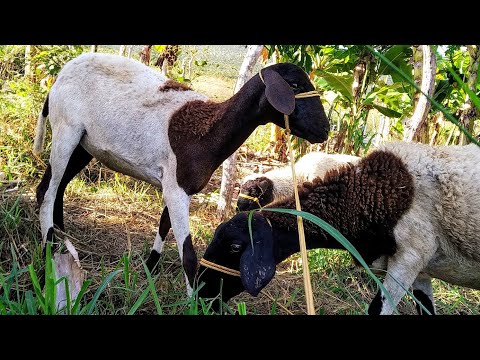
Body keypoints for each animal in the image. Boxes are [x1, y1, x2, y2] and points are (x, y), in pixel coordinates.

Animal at [32, 53, 330, 296]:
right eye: (295, 86)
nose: (324, 130)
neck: (209, 131)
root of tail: (59, 76)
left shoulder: (176, 185)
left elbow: (164, 225)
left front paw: (150, 268)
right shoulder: (177, 188)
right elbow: (188, 255)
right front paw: (192, 300)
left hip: (85, 144)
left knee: (60, 185)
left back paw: (62, 236)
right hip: (66, 128)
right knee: (46, 189)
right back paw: (48, 249)